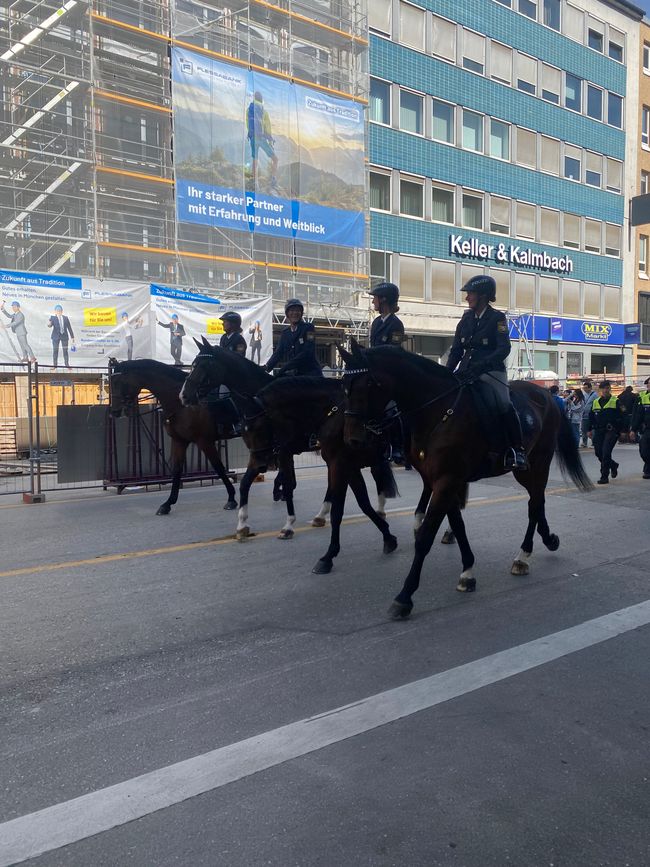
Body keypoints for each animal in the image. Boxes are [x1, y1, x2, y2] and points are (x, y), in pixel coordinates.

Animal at [107, 360, 237, 516]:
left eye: (118, 382)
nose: (114, 411)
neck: (181, 404)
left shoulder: (204, 441)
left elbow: (219, 467)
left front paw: (231, 498)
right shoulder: (179, 441)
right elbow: (176, 470)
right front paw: (167, 504)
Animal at [340, 342, 592, 620]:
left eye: (368, 384)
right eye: (344, 384)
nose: (352, 439)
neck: (439, 412)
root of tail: (546, 396)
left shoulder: (447, 481)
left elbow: (425, 537)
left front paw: (405, 596)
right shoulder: (444, 480)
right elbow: (457, 525)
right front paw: (467, 572)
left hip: (536, 463)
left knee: (535, 504)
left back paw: (523, 556)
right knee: (537, 502)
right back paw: (547, 539)